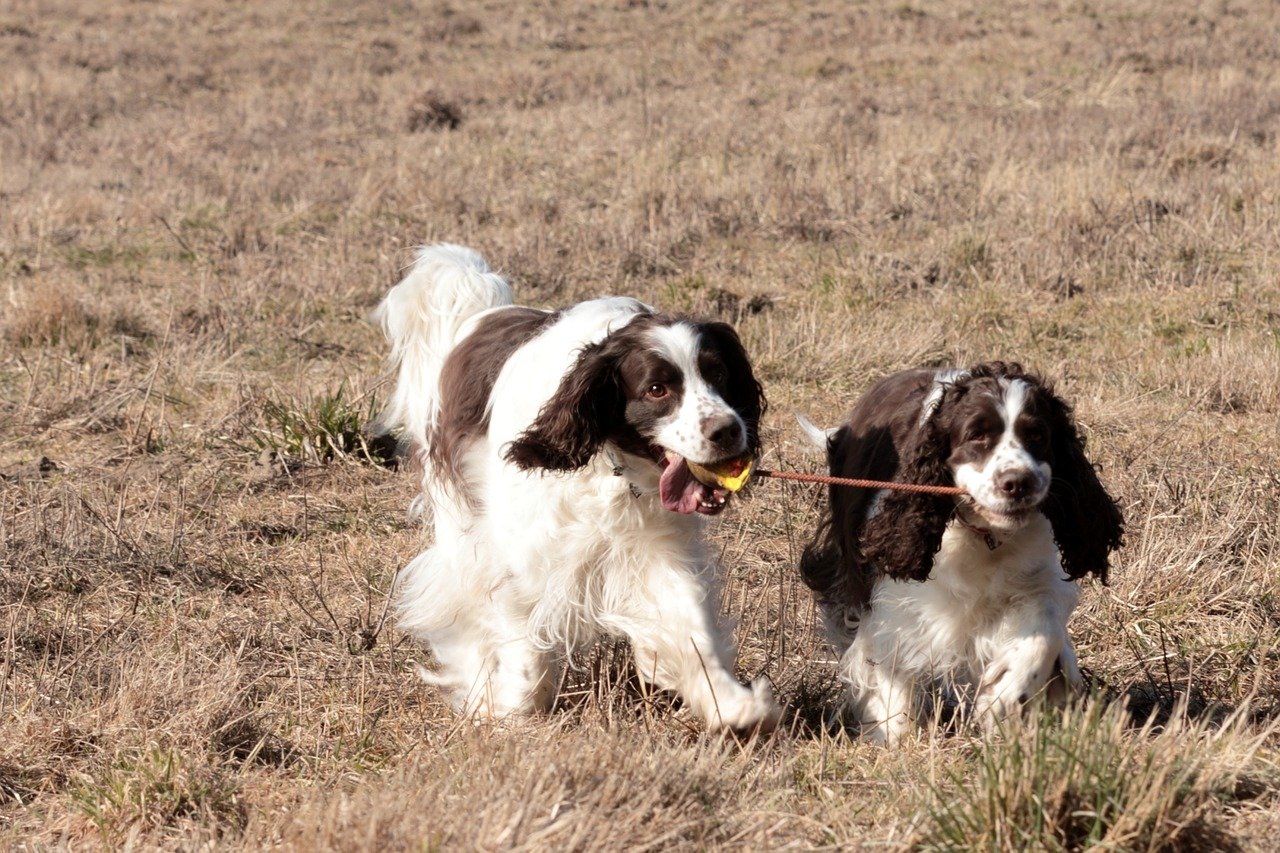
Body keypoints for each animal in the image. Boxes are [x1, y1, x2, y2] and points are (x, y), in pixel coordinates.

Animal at [373, 244, 778, 732]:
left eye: (719, 375)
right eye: (657, 389)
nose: (728, 431)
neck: (609, 467)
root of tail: (482, 314)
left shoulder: (656, 549)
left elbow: (691, 628)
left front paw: (731, 703)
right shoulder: (520, 559)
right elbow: (522, 644)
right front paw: (510, 710)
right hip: (460, 524)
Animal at [798, 361, 1121, 742]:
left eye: (1038, 435)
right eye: (975, 436)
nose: (1018, 483)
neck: (985, 537)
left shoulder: (1038, 578)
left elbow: (1044, 628)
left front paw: (1004, 695)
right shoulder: (891, 599)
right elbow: (888, 668)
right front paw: (895, 736)